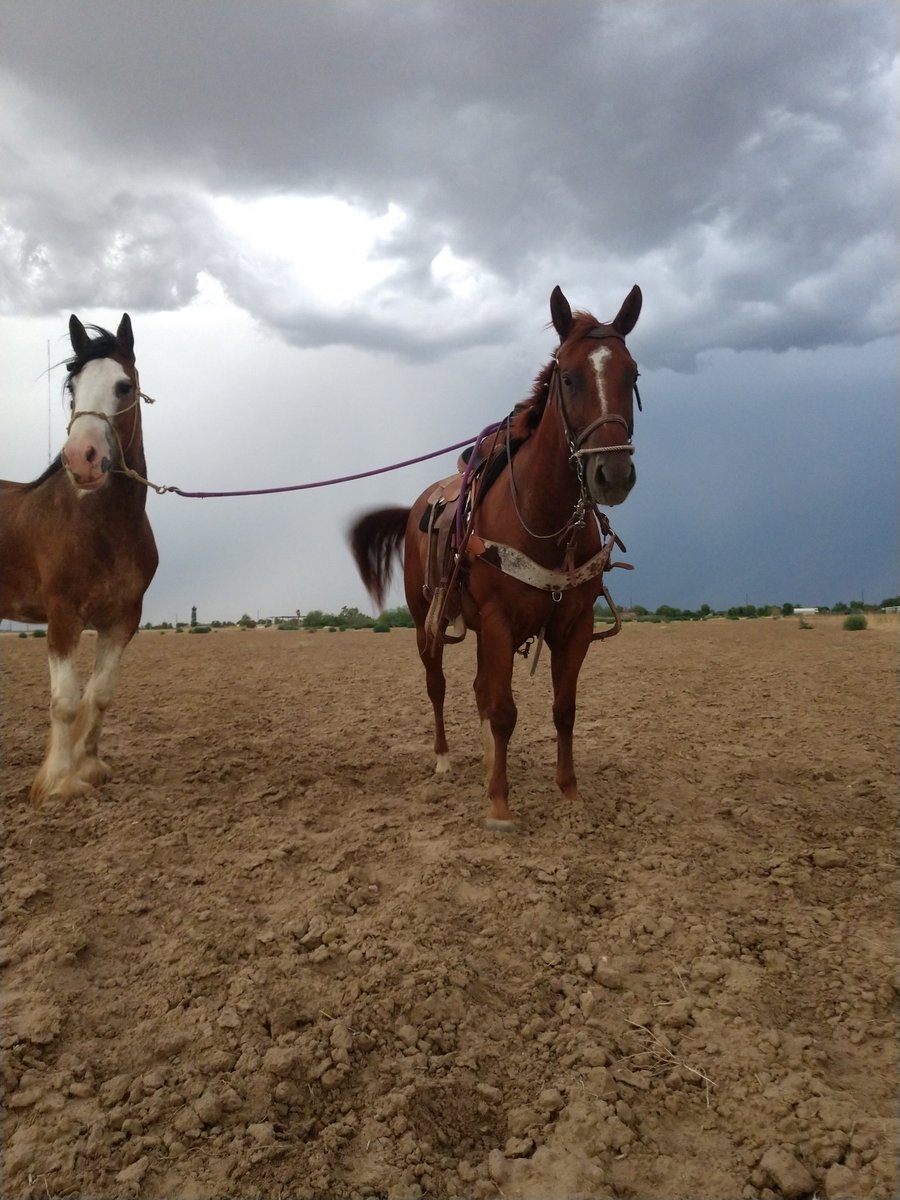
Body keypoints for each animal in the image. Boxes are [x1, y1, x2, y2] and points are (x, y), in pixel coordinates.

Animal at [0, 314, 158, 803]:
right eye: (73, 387)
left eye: (125, 386)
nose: (81, 458)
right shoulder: (63, 615)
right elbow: (66, 702)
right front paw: (58, 783)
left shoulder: (123, 618)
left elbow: (100, 694)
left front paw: (90, 768)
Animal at [350, 284, 643, 830]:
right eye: (568, 378)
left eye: (632, 374)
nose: (612, 475)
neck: (545, 518)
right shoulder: (499, 619)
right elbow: (505, 710)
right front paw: (500, 805)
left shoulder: (573, 625)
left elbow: (563, 708)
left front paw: (569, 793)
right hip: (426, 622)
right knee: (439, 686)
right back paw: (444, 759)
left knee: (478, 690)